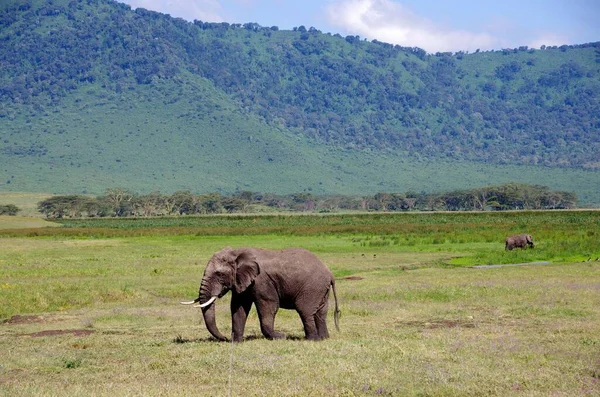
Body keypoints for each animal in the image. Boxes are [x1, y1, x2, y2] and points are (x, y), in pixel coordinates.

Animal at [178, 244, 340, 340]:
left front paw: (279, 337)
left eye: (219, 274)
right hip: (320, 289)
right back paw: (323, 338)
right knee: (320, 313)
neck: (237, 253)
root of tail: (330, 273)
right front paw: (237, 342)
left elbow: (267, 306)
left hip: (312, 287)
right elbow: (238, 307)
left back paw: (311, 339)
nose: (225, 338)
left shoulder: (262, 281)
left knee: (304, 310)